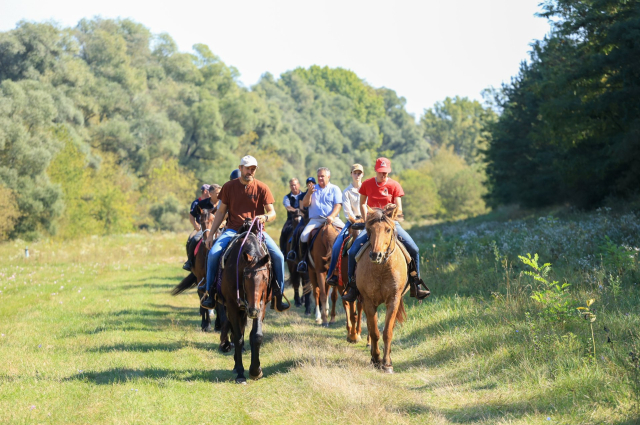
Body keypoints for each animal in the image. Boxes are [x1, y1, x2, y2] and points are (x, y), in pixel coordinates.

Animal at [358, 205, 408, 372]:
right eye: (369, 230)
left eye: (388, 229)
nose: (376, 255)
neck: (382, 270)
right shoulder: (368, 301)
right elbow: (374, 332)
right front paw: (376, 359)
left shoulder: (393, 300)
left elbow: (387, 332)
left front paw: (387, 363)